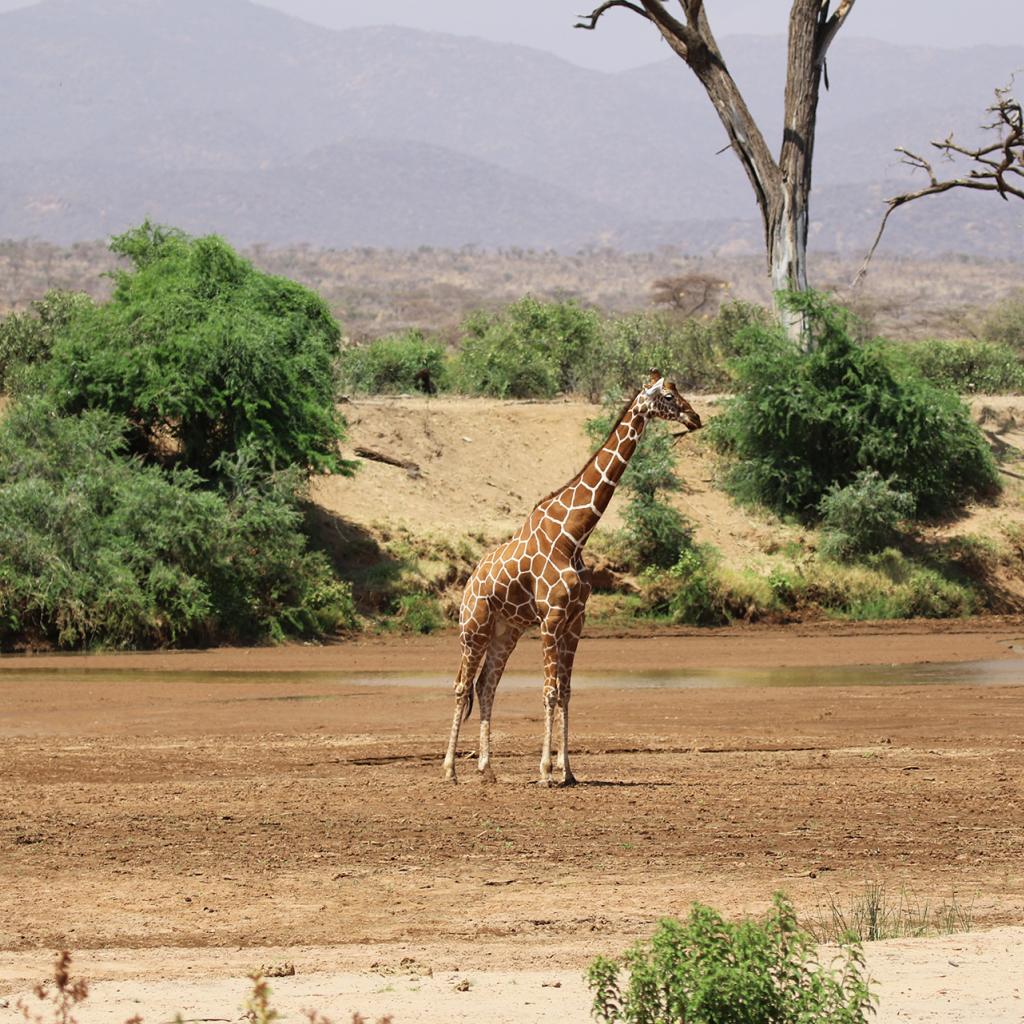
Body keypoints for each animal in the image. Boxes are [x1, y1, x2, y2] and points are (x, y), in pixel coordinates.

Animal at [442, 372, 704, 786]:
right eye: (667, 395)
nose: (695, 418)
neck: (574, 535)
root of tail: (468, 582)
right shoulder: (550, 618)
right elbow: (549, 692)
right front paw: (546, 771)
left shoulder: (575, 621)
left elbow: (565, 691)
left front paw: (568, 771)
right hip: (474, 627)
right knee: (461, 685)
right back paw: (450, 769)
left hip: (506, 631)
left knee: (486, 685)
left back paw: (487, 769)